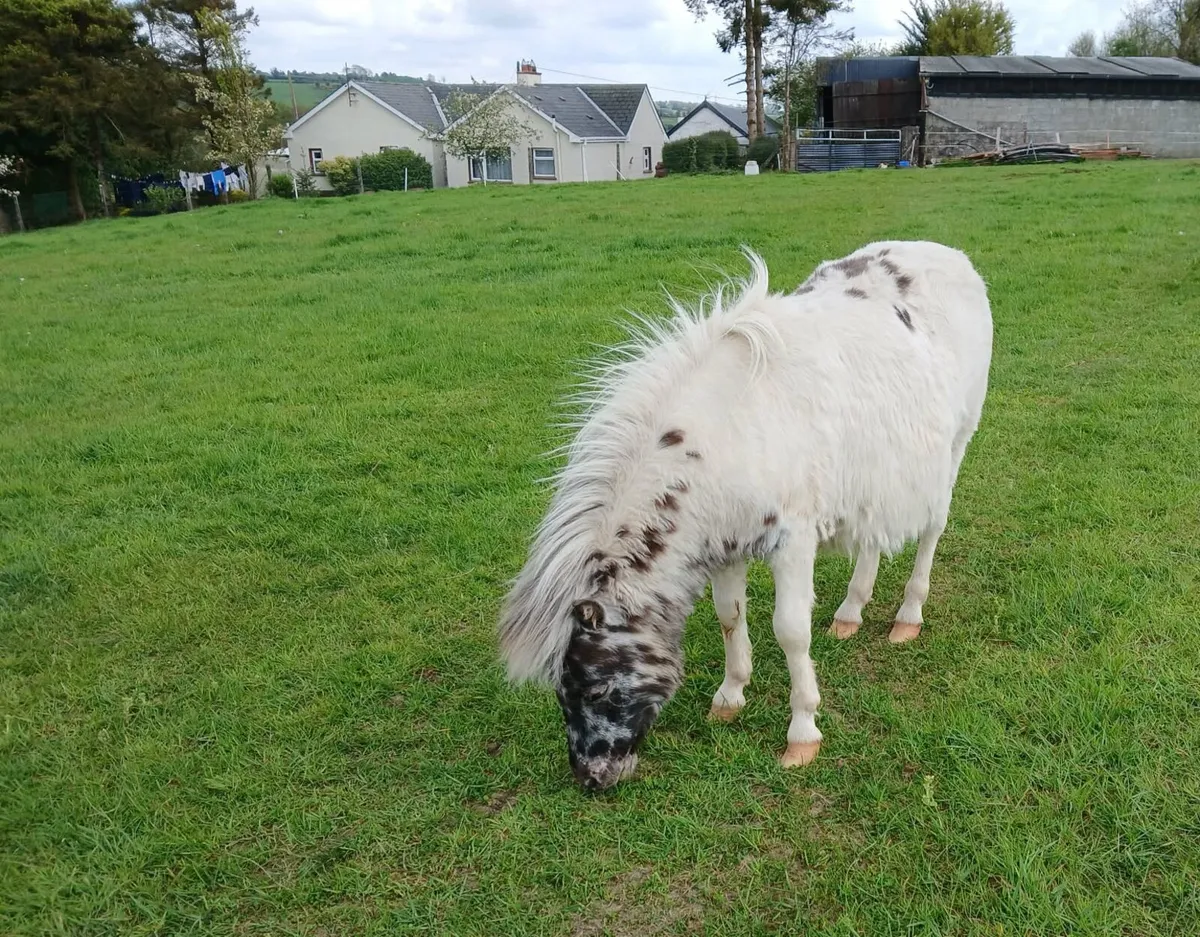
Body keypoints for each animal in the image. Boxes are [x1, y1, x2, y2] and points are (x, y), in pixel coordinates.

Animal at [498, 241, 993, 791]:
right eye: (561, 692)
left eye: (599, 689)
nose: (591, 777)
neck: (727, 434)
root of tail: (952, 256)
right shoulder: (723, 545)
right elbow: (729, 617)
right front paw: (730, 697)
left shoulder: (793, 543)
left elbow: (791, 630)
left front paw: (802, 733)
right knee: (871, 539)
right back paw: (849, 613)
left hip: (955, 446)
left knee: (932, 529)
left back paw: (908, 617)